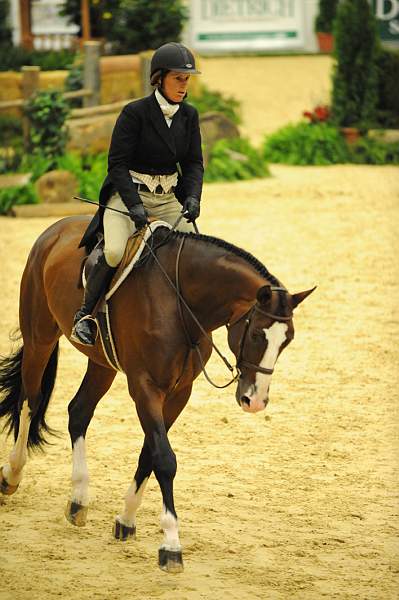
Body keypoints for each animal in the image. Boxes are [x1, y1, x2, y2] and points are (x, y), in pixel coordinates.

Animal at [0, 216, 316, 572]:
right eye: (258, 335)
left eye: (287, 340)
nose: (256, 401)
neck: (182, 303)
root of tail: (58, 227)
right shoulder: (145, 387)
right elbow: (164, 459)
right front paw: (171, 545)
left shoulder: (180, 392)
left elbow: (149, 453)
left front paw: (126, 519)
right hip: (39, 336)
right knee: (31, 399)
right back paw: (12, 474)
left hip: (102, 362)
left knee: (78, 411)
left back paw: (79, 498)